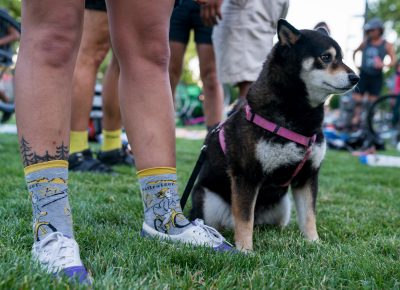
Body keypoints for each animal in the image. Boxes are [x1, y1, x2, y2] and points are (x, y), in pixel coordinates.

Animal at [190, 19, 360, 250]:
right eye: (326, 57)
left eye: (342, 58)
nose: (356, 77)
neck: (300, 117)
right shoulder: (246, 175)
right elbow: (244, 217)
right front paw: (245, 250)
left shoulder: (307, 176)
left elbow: (309, 216)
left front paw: (314, 243)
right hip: (208, 201)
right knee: (228, 221)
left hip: (282, 208)